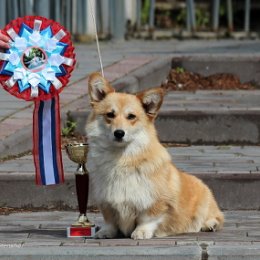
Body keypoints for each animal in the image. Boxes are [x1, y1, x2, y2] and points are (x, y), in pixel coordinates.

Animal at [85, 72, 223, 239]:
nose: (119, 133)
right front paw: (105, 232)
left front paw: (141, 232)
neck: (121, 158)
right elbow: (109, 220)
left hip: (205, 203)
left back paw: (210, 224)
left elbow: (148, 218)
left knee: (216, 217)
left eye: (131, 116)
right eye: (110, 115)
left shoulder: (155, 202)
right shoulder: (106, 201)